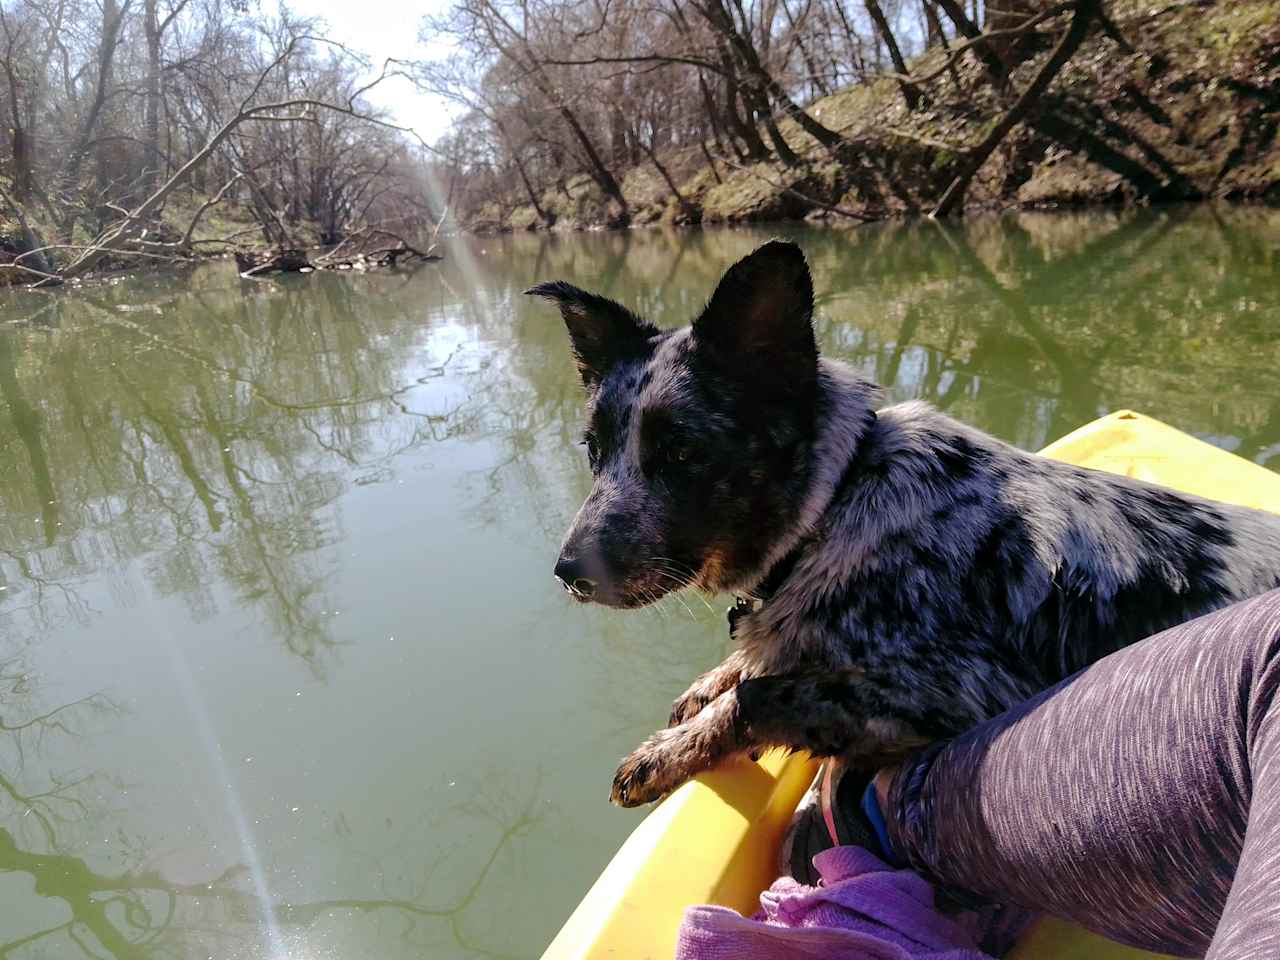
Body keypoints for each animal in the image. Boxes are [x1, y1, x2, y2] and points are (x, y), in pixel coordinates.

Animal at [524, 236, 1280, 808]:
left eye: (682, 453)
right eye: (593, 451)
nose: (568, 573)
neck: (838, 501)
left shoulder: (960, 695)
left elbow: (760, 695)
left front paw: (670, 751)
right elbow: (753, 665)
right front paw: (715, 680)